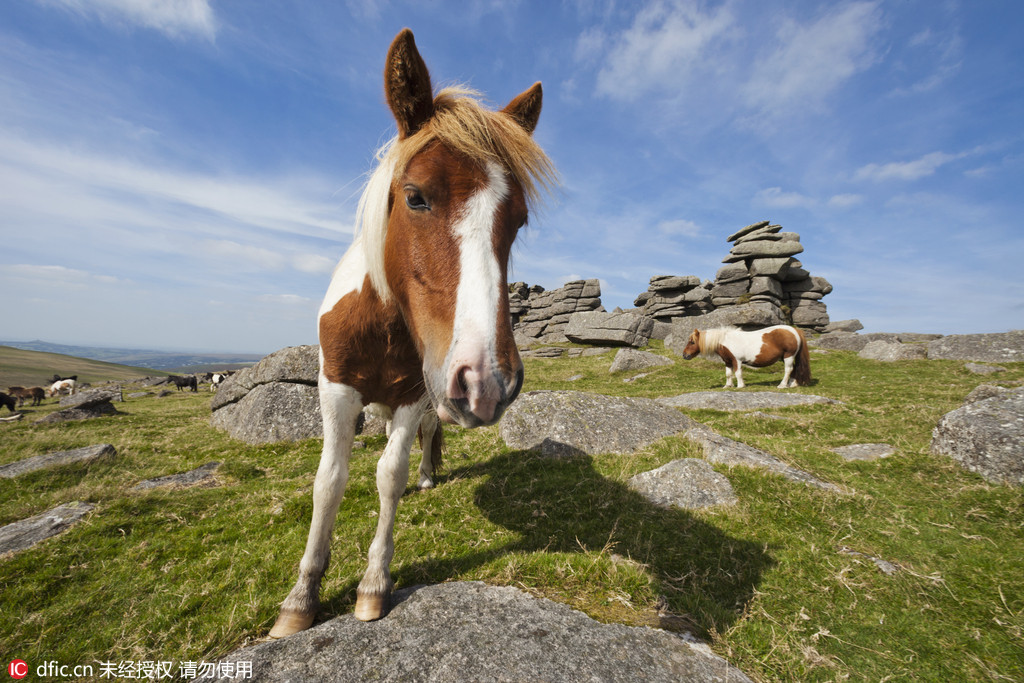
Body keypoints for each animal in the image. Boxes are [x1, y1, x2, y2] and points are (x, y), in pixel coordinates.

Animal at [270, 29, 561, 638]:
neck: (382, 325)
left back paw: (428, 475)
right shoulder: (336, 389)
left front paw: (374, 585)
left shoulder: (411, 395)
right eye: (416, 196)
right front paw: (301, 597)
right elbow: (329, 481)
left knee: (424, 440)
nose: (488, 382)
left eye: (518, 220)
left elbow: (390, 475)